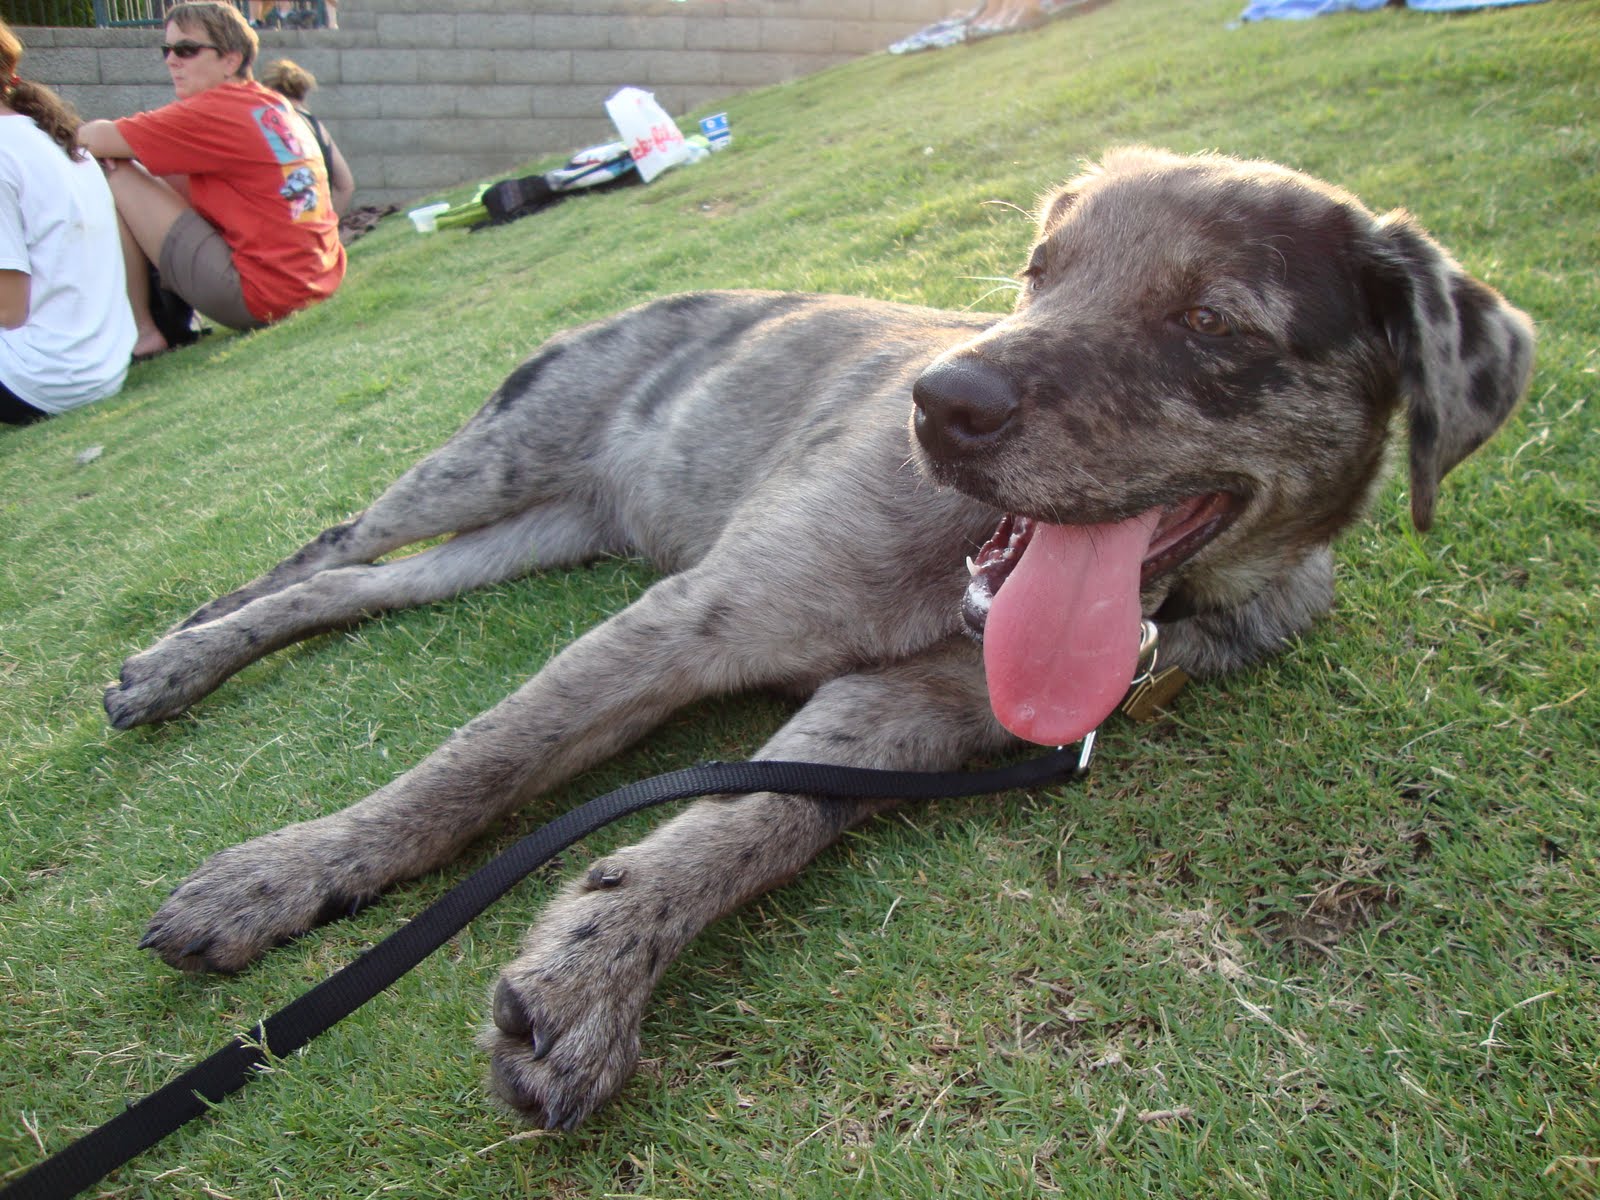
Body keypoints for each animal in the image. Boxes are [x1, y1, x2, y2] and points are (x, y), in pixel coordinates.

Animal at [112, 145, 1536, 1132]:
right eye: (1037, 275)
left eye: (1213, 323)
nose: (941, 403)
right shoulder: (687, 622)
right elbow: (476, 768)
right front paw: (289, 875)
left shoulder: (896, 717)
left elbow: (751, 823)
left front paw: (592, 969)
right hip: (495, 460)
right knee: (331, 545)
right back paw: (178, 653)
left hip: (540, 532)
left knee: (355, 593)